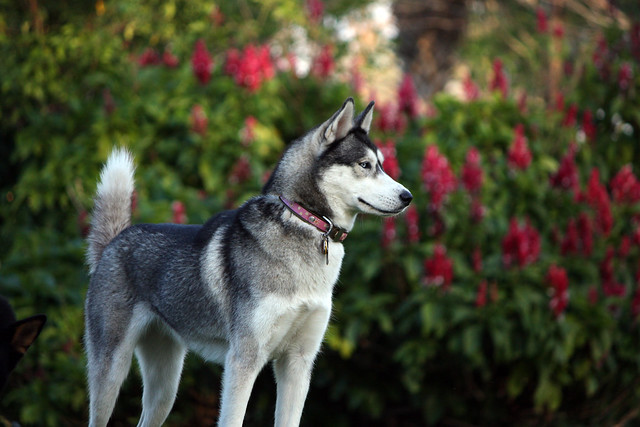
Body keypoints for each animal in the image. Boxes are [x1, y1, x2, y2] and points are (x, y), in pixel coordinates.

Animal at [85, 98, 412, 426]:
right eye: (365, 165)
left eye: (382, 165)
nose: (408, 196)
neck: (303, 220)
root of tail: (113, 243)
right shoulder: (244, 360)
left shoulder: (298, 363)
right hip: (112, 373)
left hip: (164, 391)